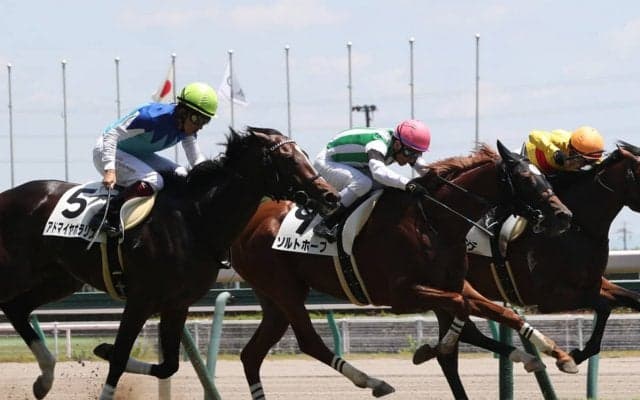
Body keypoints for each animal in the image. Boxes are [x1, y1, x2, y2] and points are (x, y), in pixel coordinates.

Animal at [0, 126, 339, 400]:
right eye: (287, 158)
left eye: (303, 154)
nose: (330, 196)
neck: (195, 220)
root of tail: (6, 196)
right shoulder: (141, 299)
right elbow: (120, 358)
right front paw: (108, 355)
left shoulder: (177, 303)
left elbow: (168, 365)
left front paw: (101, 349)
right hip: (17, 274)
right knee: (12, 305)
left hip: (59, 278)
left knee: (17, 308)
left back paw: (44, 379)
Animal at [229, 141, 573, 399]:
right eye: (526, 179)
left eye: (543, 176)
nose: (564, 215)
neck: (433, 220)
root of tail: (247, 223)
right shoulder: (403, 294)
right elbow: (459, 323)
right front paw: (434, 347)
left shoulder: (452, 283)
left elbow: (498, 314)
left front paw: (558, 354)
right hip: (285, 289)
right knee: (308, 341)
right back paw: (374, 382)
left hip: (274, 299)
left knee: (251, 355)